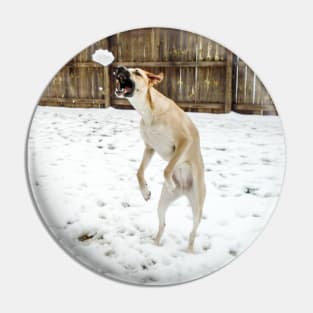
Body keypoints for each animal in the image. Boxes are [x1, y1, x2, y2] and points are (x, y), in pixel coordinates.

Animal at [113, 66, 206, 251]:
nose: (119, 67)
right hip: (162, 204)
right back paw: (155, 244)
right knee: (163, 224)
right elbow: (139, 172)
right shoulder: (149, 148)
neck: (149, 112)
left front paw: (170, 183)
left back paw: (189, 252)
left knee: (193, 232)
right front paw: (145, 192)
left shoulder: (184, 142)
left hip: (198, 208)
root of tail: (184, 189)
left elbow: (167, 168)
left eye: (137, 72)